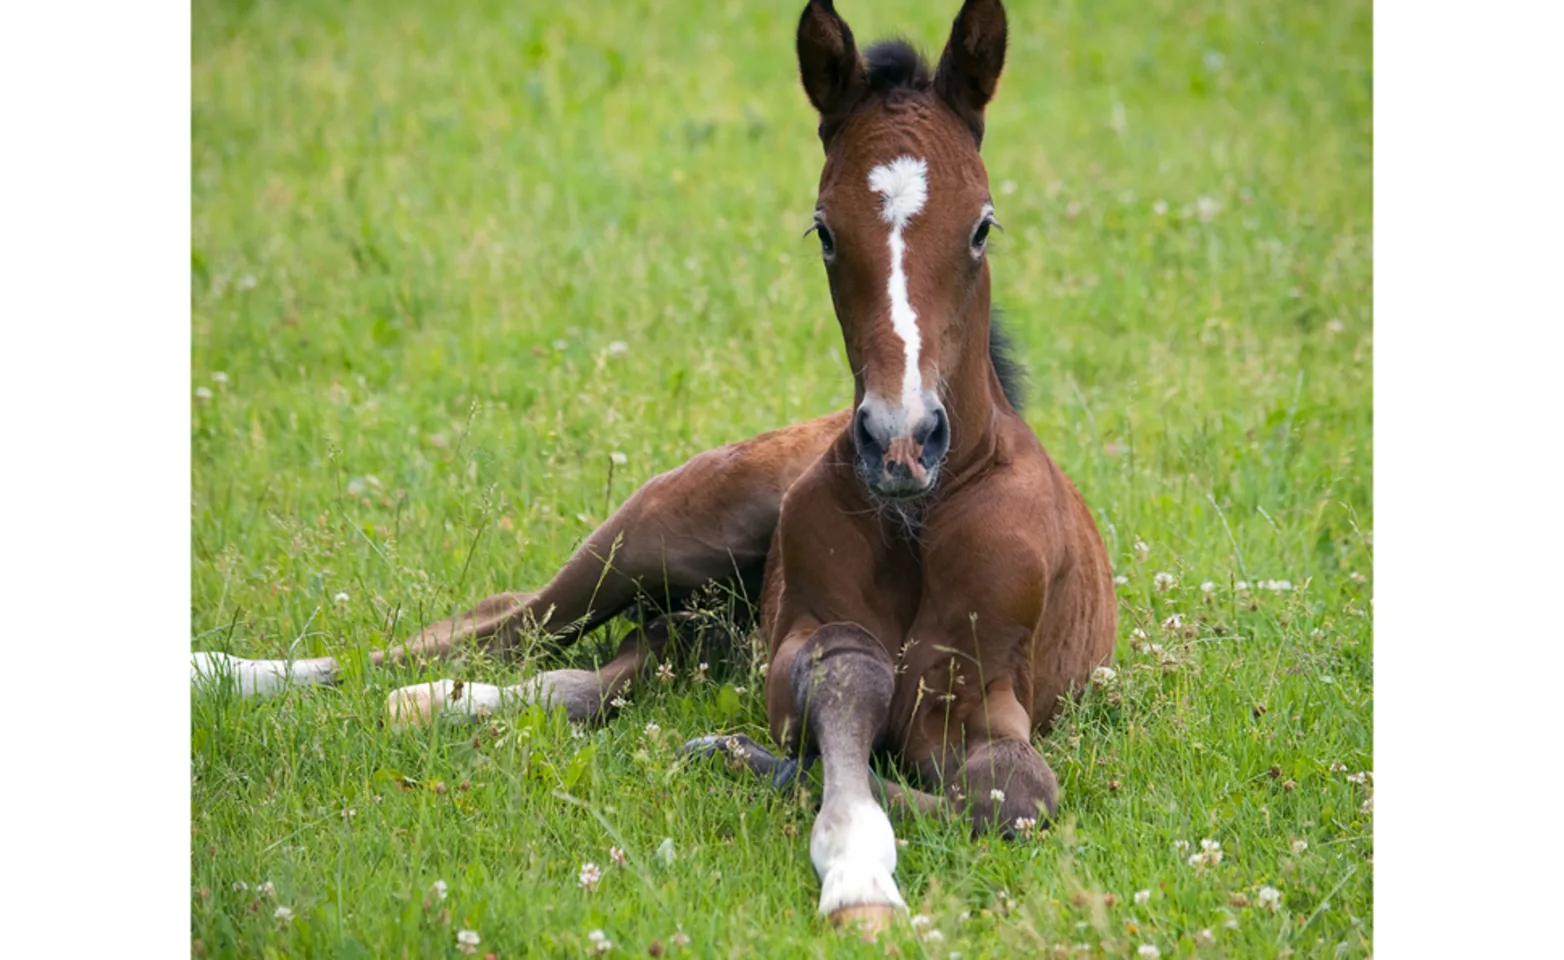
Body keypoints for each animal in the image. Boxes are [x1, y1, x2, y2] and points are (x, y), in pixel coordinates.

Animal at [190, 0, 1116, 932]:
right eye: (824, 231)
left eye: (982, 225)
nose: (900, 440)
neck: (918, 518)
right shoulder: (808, 639)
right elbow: (847, 677)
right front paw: (855, 870)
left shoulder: (978, 694)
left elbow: (1011, 796)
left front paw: (747, 762)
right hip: (654, 538)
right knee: (504, 624)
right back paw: (232, 674)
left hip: (699, 617)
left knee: (610, 666)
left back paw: (442, 705)